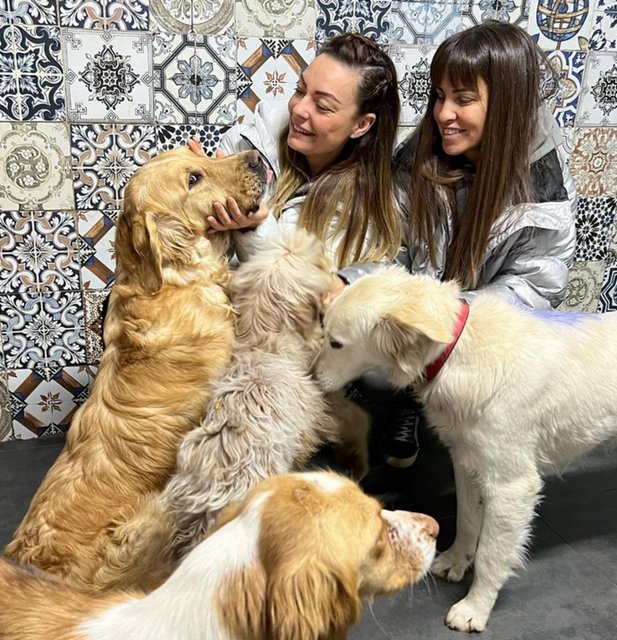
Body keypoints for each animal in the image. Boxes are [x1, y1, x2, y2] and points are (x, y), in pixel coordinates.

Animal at [313, 265, 617, 632]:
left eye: (336, 343)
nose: (310, 378)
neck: (455, 353)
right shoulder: (466, 463)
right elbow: (468, 522)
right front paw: (456, 562)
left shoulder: (512, 486)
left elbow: (490, 553)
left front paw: (475, 608)